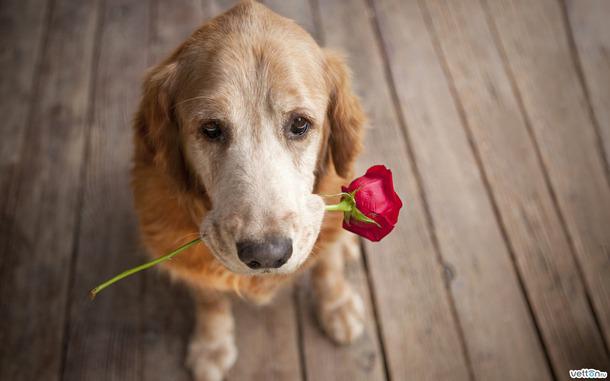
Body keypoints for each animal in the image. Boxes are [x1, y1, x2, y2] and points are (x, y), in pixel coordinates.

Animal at [131, 2, 364, 378]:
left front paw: (337, 305)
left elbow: (326, 267)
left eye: (300, 124)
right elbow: (209, 298)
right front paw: (211, 344)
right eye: (211, 128)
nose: (267, 255)